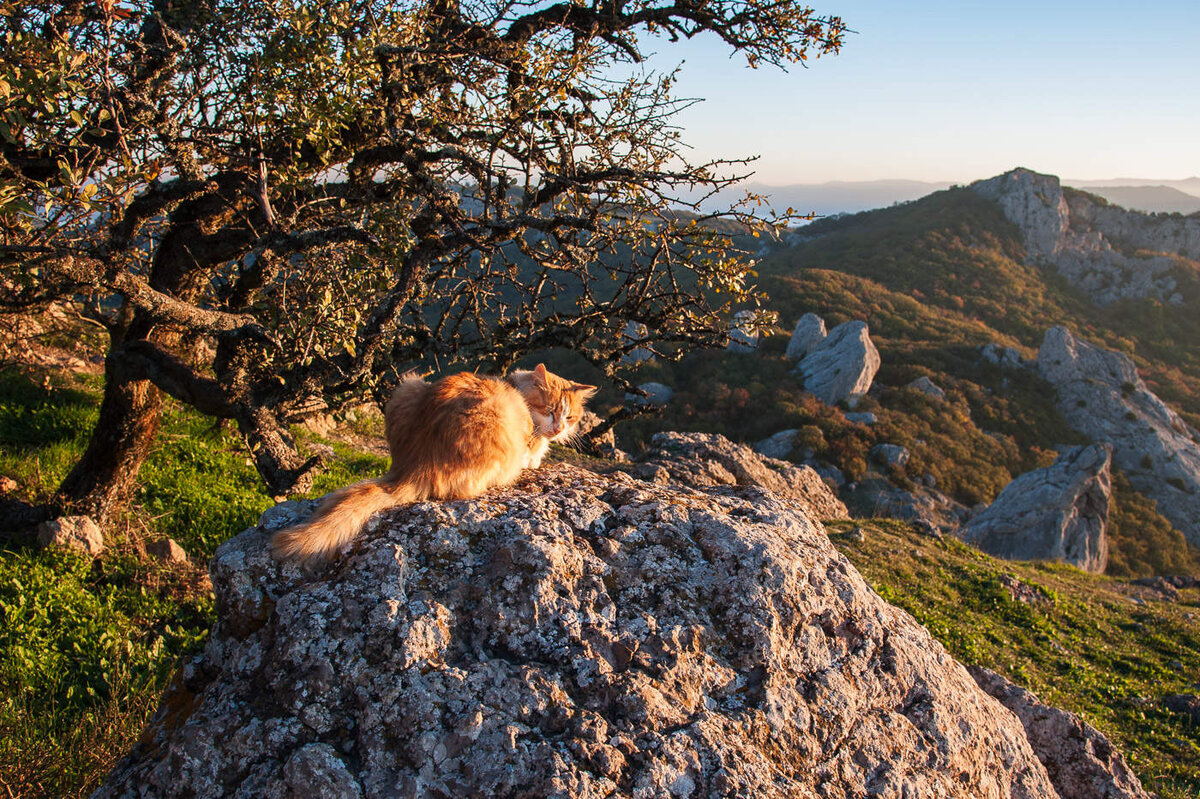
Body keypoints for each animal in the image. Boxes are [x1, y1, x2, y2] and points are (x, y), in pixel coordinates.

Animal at [268, 362, 595, 559]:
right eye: (550, 410)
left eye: (569, 417)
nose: (558, 428)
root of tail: (415, 465)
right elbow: (534, 457)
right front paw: (537, 458)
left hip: (408, 386)